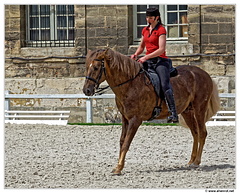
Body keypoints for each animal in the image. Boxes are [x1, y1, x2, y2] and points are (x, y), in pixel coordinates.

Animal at [83, 48, 220, 175]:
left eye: (96, 67)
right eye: (86, 67)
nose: (86, 90)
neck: (130, 84)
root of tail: (205, 74)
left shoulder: (135, 120)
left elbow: (126, 143)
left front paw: (119, 168)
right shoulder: (125, 119)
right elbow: (122, 142)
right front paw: (117, 166)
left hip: (199, 109)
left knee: (202, 133)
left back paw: (197, 161)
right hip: (187, 112)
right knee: (195, 133)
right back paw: (191, 161)